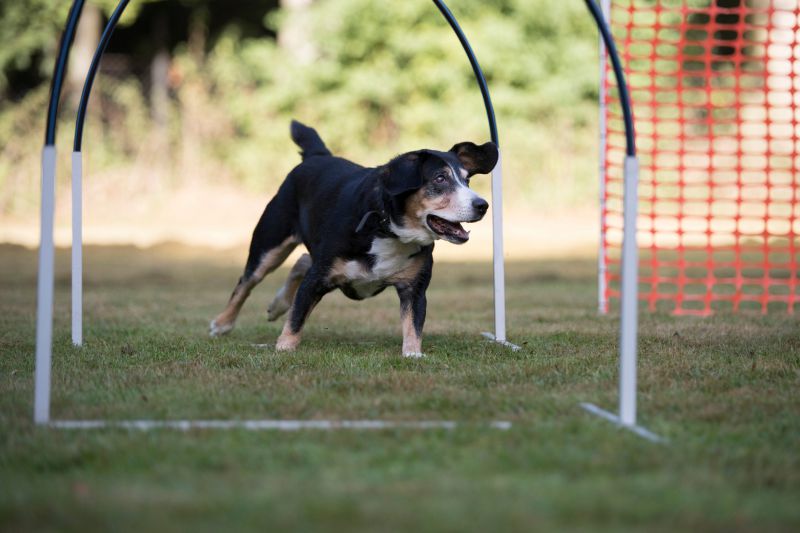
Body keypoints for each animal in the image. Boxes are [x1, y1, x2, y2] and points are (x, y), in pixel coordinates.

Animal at [209, 118, 496, 356]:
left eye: (467, 180)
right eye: (439, 178)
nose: (482, 205)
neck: (386, 227)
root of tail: (318, 156)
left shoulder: (414, 288)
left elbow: (413, 325)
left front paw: (413, 354)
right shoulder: (318, 277)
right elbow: (297, 317)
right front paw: (284, 348)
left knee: (301, 260)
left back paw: (278, 304)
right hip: (270, 244)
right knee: (246, 282)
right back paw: (223, 323)